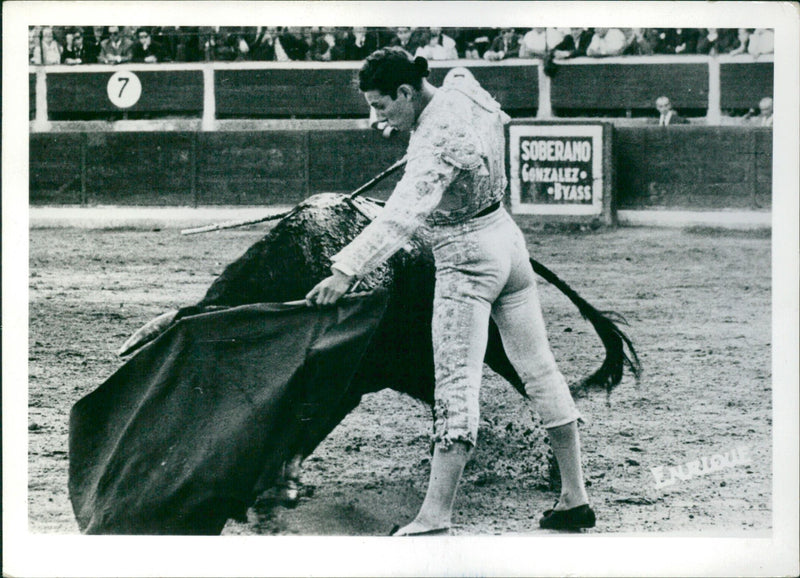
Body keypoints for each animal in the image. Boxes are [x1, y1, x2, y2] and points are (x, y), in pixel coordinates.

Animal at [72, 192, 640, 532]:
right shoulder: (351, 378)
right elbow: (303, 422)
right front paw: (281, 482)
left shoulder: (345, 377)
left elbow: (306, 420)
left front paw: (277, 487)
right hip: (421, 362)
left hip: (490, 335)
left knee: (535, 384)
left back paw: (553, 476)